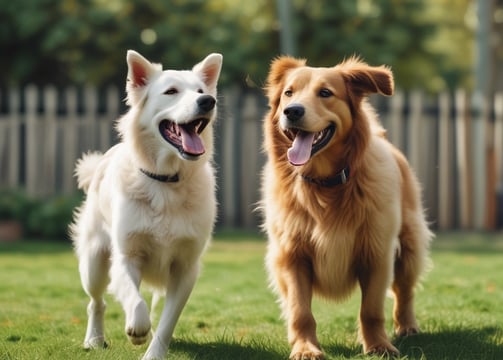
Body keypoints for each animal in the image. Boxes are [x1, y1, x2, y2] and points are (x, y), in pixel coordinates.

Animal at [70, 49, 222, 358]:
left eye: (201, 91)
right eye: (171, 91)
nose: (207, 102)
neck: (166, 181)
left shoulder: (185, 268)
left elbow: (166, 323)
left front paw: (153, 351)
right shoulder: (126, 257)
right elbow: (136, 302)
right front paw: (136, 331)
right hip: (93, 264)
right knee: (96, 302)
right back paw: (93, 339)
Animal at [260, 55, 434, 358]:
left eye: (325, 93)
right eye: (288, 93)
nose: (292, 111)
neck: (324, 184)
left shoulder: (377, 253)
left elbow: (371, 310)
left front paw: (378, 346)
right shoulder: (292, 257)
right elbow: (300, 312)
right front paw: (306, 348)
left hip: (409, 245)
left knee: (405, 291)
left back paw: (407, 326)